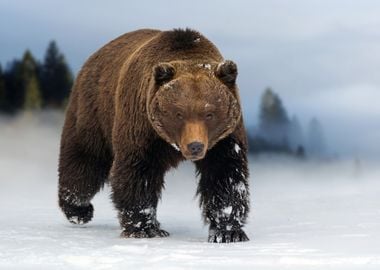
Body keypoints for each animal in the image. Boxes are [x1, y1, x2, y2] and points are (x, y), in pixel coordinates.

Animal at [58, 28, 251, 244]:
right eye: (179, 113)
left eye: (209, 113)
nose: (195, 146)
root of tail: (94, 56)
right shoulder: (143, 127)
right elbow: (138, 171)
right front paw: (144, 228)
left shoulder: (224, 139)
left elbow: (226, 176)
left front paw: (228, 232)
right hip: (95, 111)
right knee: (85, 160)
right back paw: (78, 210)